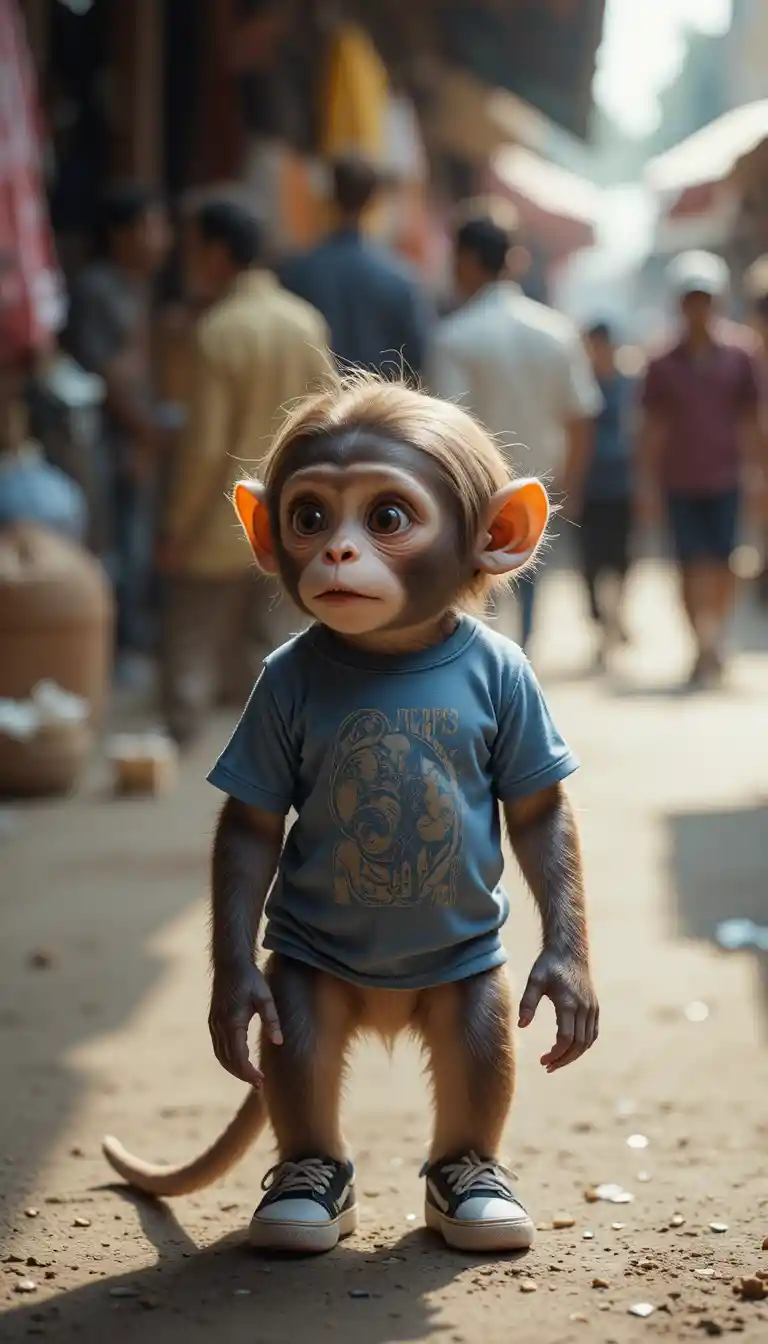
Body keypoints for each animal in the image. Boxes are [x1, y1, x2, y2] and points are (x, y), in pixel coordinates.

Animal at [103, 374, 599, 1256]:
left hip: (462, 977)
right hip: (309, 972)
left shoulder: (518, 684)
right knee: (299, 1040)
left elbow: (541, 813)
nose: (335, 552)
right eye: (308, 517)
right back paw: (304, 1191)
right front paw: (233, 1001)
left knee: (478, 1039)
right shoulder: (269, 696)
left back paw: (472, 1184)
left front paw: (566, 978)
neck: (394, 653)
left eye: (387, 518)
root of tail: (386, 1009)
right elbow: (251, 830)